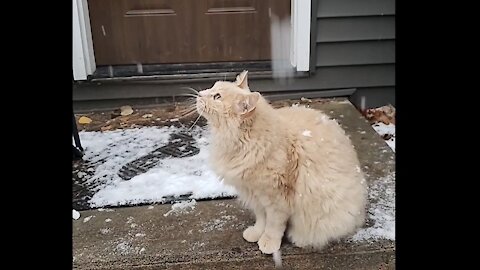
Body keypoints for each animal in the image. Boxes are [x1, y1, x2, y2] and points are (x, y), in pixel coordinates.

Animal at [195, 70, 368, 254]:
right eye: (213, 87)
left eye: (217, 96)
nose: (199, 94)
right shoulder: (256, 197)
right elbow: (261, 220)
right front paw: (256, 233)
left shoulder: (276, 200)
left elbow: (273, 226)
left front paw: (269, 243)